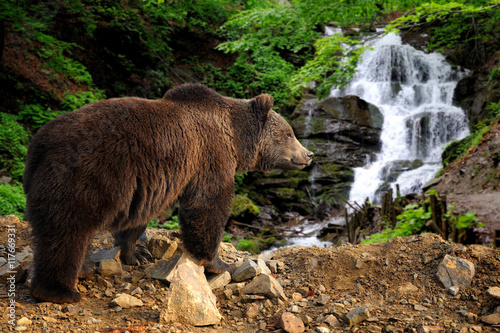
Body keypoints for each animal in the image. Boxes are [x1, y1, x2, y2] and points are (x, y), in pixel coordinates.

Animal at [24, 82, 312, 300]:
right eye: (289, 133)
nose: (308, 154)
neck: (236, 139)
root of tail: (41, 143)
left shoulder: (152, 183)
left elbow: (139, 218)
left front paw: (137, 253)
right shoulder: (209, 157)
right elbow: (208, 207)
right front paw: (220, 263)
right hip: (87, 174)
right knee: (67, 232)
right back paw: (59, 290)